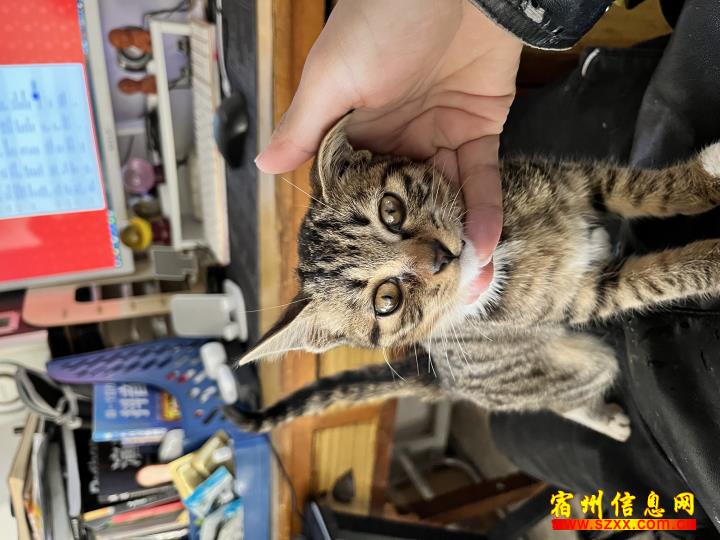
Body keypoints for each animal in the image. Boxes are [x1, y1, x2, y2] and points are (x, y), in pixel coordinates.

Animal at [224, 116, 720, 442]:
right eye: (387, 300)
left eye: (391, 209)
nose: (442, 257)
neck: (501, 251)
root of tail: (440, 377)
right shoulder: (579, 297)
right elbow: (655, 279)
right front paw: (712, 260)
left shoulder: (576, 180)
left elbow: (637, 188)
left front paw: (706, 177)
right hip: (561, 366)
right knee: (566, 395)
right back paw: (609, 422)